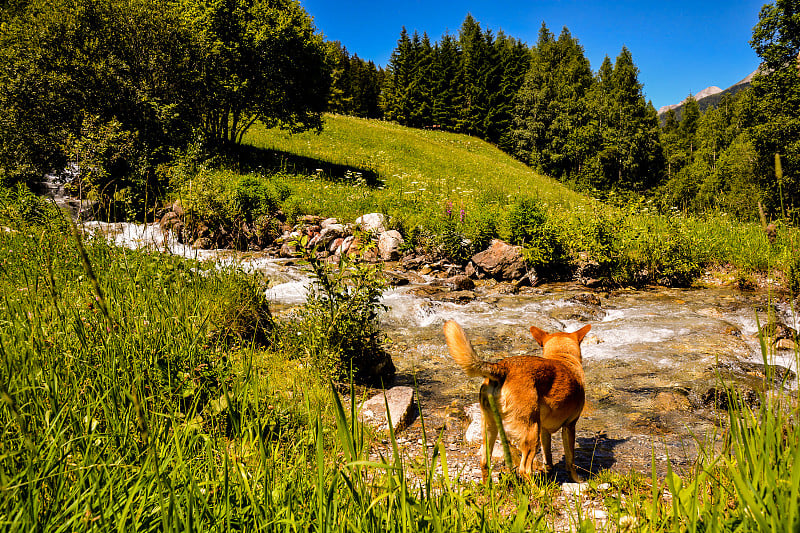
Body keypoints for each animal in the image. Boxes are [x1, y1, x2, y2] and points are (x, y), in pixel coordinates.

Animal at [440, 320, 592, 482]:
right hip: (531, 432)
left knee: (484, 462)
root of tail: (502, 368)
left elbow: (548, 457)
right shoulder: (569, 426)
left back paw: (488, 487)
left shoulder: (545, 431)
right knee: (524, 469)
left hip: (489, 428)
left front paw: (550, 473)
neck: (563, 357)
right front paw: (578, 480)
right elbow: (570, 461)